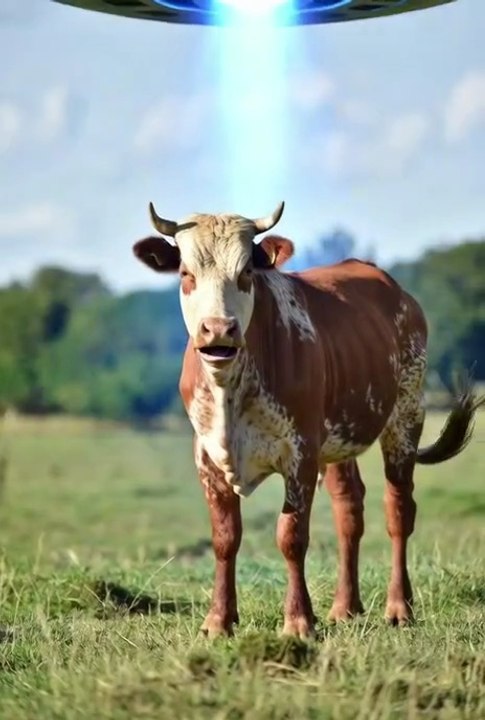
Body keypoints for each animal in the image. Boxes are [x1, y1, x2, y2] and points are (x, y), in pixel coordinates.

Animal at [133, 200, 483, 638]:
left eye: (246, 272)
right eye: (186, 274)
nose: (218, 329)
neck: (231, 386)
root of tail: (394, 288)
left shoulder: (299, 453)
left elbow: (291, 536)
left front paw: (298, 620)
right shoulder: (208, 455)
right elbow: (225, 537)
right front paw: (218, 620)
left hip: (405, 416)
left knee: (399, 511)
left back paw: (399, 607)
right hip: (336, 441)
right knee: (349, 509)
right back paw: (344, 607)